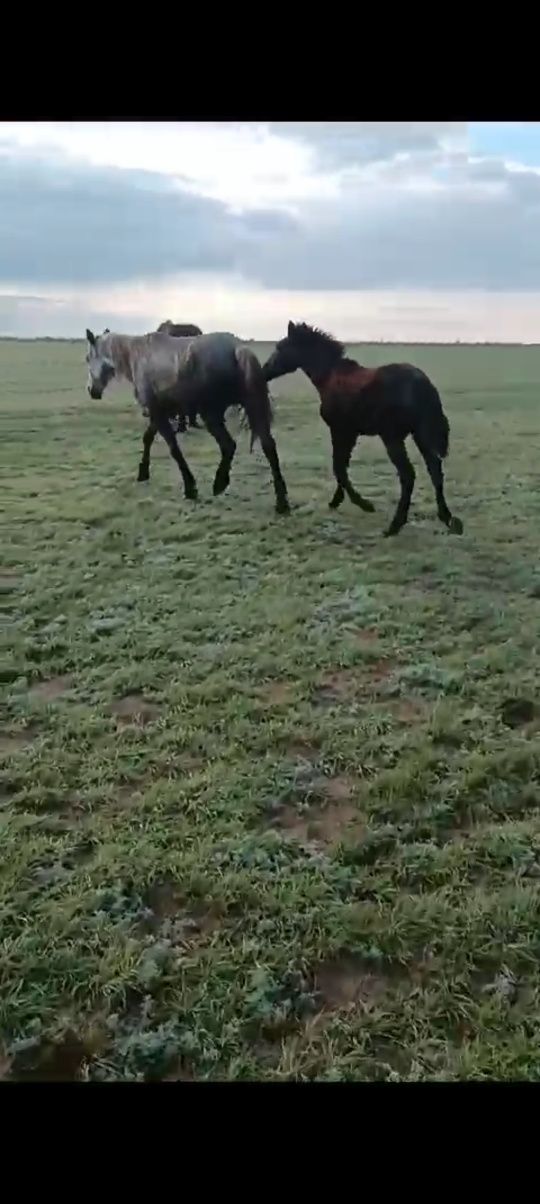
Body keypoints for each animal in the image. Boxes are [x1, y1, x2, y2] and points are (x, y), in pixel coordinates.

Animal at [85, 327, 286, 515]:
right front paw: (143, 473)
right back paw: (282, 502)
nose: (91, 391)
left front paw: (190, 487)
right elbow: (148, 438)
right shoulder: (160, 412)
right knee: (269, 447)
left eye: (88, 358)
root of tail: (238, 349)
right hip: (253, 407)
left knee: (229, 445)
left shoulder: (157, 412)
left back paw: (219, 484)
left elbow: (173, 448)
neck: (137, 355)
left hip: (211, 414)